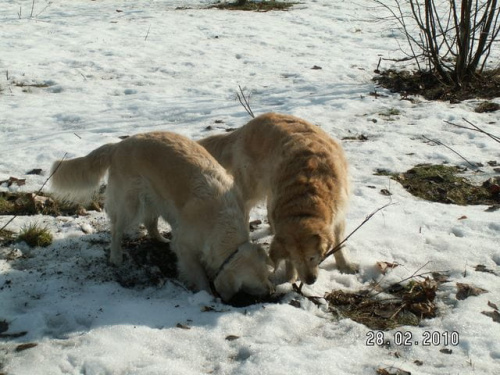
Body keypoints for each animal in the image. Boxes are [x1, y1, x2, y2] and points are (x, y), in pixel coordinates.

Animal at [49, 132, 274, 302]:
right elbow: (198, 274)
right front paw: (206, 294)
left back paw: (161, 240)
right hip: (130, 203)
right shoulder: (186, 246)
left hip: (154, 199)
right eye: (253, 285)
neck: (223, 223)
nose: (271, 293)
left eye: (266, 276)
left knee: (150, 222)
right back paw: (116, 256)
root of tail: (118, 145)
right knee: (116, 229)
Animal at [198, 113, 356, 286]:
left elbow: (339, 242)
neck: (305, 198)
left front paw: (345, 265)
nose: (310, 281)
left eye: (312, 257)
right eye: (296, 260)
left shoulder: (339, 214)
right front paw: (290, 276)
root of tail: (247, 126)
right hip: (253, 188)